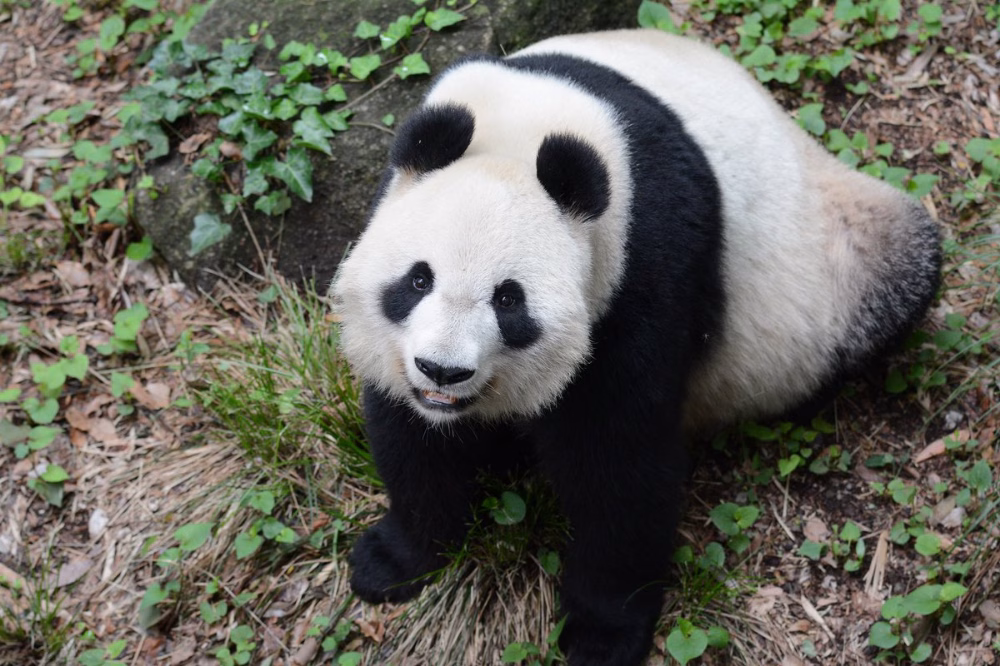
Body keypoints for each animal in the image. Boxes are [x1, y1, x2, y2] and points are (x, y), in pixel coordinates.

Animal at [331, 29, 940, 666]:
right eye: (418, 280)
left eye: (508, 300)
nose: (443, 371)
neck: (527, 127)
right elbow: (409, 434)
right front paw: (393, 561)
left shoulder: (645, 257)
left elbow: (618, 459)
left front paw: (601, 634)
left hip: (841, 264)